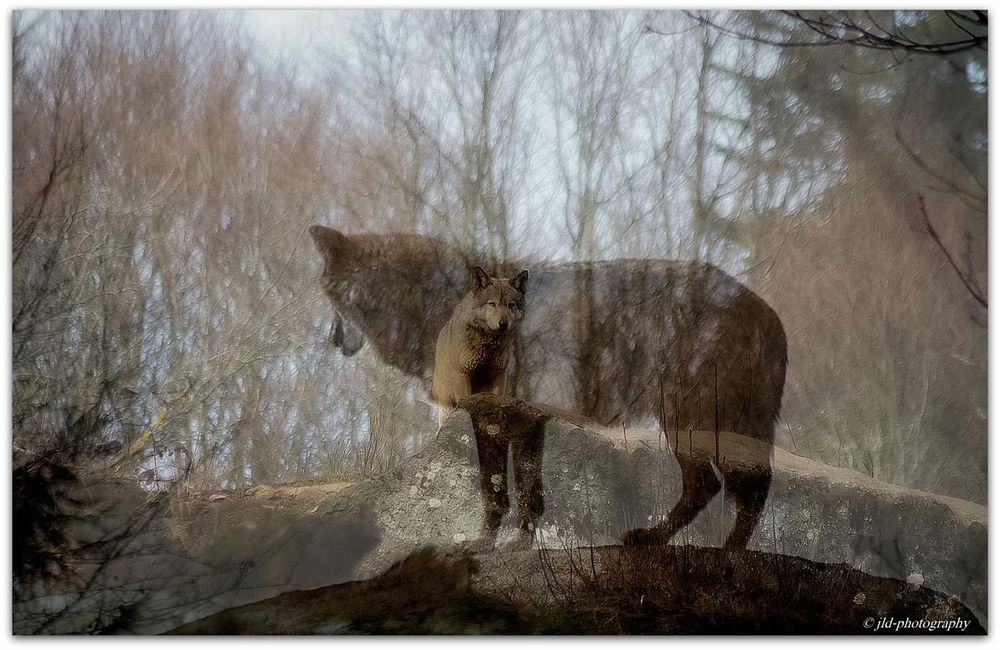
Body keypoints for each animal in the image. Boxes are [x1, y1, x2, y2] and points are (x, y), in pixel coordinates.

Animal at [432, 264, 532, 426]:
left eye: (511, 305)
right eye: (492, 303)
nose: (503, 324)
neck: (487, 345)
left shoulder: (499, 375)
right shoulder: (462, 374)